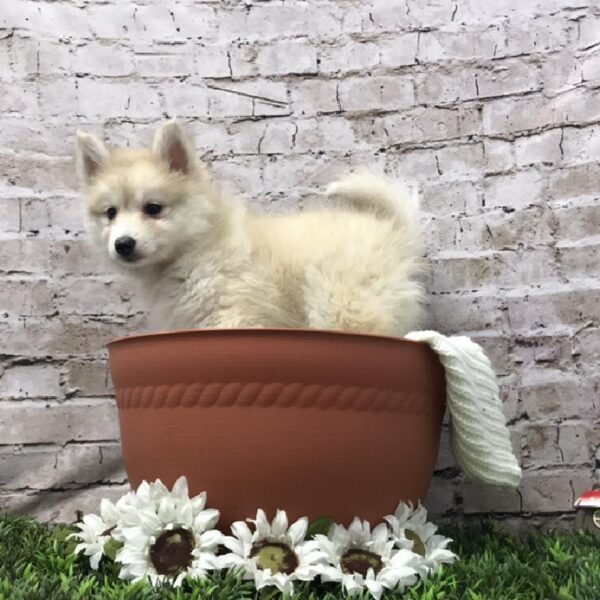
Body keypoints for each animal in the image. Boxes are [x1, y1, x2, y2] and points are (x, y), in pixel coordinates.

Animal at [74, 120, 422, 338]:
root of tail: (393, 229)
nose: (123, 244)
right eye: (110, 213)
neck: (195, 247)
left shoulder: (232, 312)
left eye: (153, 208)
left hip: (343, 303)